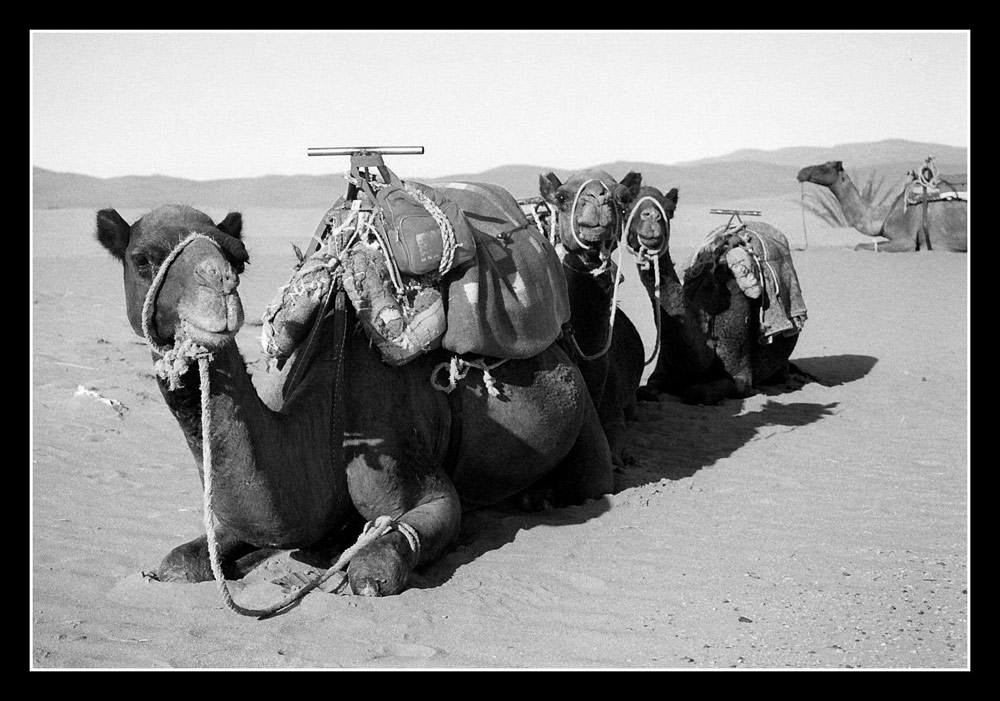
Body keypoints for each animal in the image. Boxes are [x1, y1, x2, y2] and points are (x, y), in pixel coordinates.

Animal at [95, 201, 608, 596]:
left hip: (584, 418)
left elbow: (374, 568)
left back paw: (541, 497)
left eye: (237, 258)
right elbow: (181, 561)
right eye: (143, 259)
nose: (220, 289)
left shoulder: (418, 478)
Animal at [620, 186, 808, 404]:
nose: (651, 218)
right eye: (626, 207)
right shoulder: (662, 371)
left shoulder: (740, 377)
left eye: (669, 209)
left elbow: (695, 393)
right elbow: (645, 390)